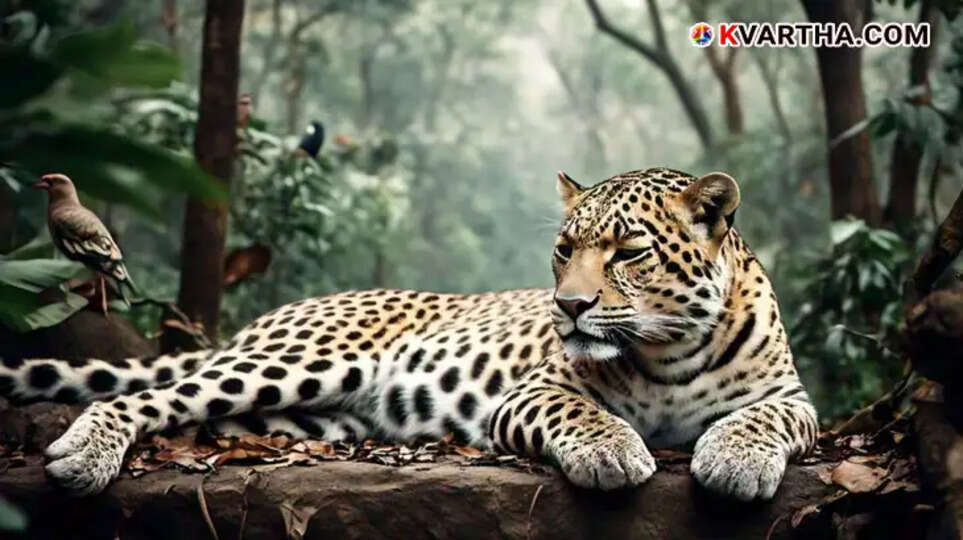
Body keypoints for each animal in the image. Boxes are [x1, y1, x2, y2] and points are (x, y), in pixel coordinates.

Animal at [0, 167, 818, 500]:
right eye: (564, 250)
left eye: (626, 252)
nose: (567, 306)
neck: (670, 347)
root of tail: (267, 318)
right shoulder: (535, 390)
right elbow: (582, 411)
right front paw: (613, 452)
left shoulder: (794, 398)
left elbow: (763, 419)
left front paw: (735, 462)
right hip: (301, 362)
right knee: (141, 399)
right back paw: (84, 454)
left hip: (312, 415)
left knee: (203, 418)